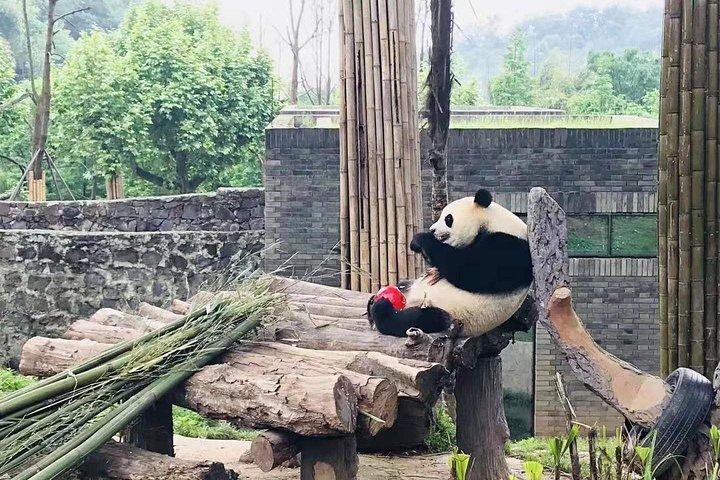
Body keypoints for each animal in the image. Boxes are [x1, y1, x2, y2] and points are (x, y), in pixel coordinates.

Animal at [367, 188, 532, 338]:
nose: (432, 230)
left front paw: (422, 239)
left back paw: (381, 308)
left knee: (418, 319)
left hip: (451, 313)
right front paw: (417, 245)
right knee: (404, 288)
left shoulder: (509, 248)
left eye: (448, 219)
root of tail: (409, 300)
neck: (494, 222)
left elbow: (471, 270)